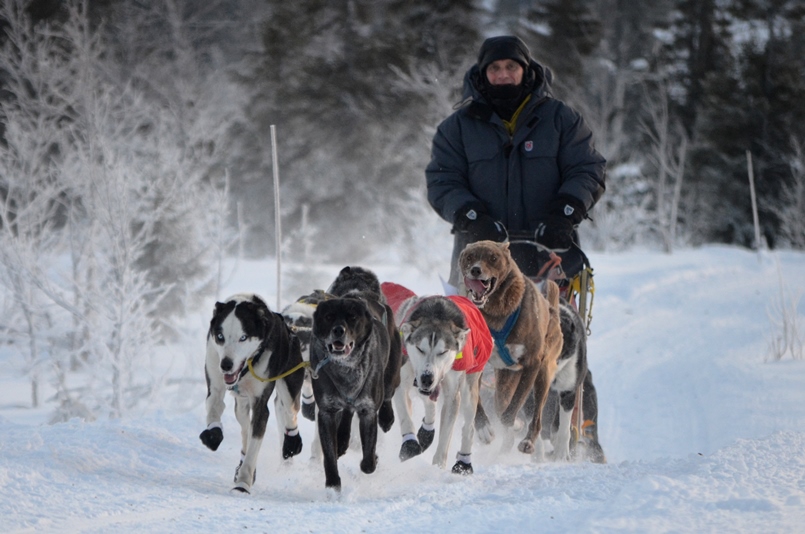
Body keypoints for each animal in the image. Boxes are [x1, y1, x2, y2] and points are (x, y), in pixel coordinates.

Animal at [200, 293, 305, 493]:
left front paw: (243, 482)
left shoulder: (260, 405)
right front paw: (213, 434)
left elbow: (254, 446)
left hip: (289, 384)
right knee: (244, 428)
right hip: (241, 404)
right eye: (220, 336)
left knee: (290, 412)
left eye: (243, 337)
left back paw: (292, 443)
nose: (226, 365)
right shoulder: (215, 384)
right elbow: (214, 407)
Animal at [309, 297, 392, 490]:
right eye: (329, 316)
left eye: (352, 317)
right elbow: (329, 455)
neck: (345, 368)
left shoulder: (368, 411)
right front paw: (333, 483)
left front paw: (372, 459)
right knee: (346, 415)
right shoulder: (327, 412)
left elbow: (368, 461)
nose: (339, 330)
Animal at [381, 282, 493, 474]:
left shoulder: (451, 394)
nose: (427, 377)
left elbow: (446, 434)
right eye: (420, 349)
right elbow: (405, 416)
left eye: (443, 352)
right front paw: (410, 443)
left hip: (470, 387)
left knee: (469, 427)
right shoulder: (403, 381)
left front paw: (438, 465)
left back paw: (463, 461)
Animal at [458, 240, 563, 457]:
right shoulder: (476, 363)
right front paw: (483, 428)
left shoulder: (532, 364)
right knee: (500, 404)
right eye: (470, 257)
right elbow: (478, 402)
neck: (495, 312)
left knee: (536, 415)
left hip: (543, 373)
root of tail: (552, 310)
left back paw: (527, 441)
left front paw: (512, 423)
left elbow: (510, 411)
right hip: (506, 378)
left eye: (493, 258)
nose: (475, 270)